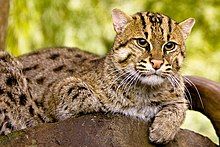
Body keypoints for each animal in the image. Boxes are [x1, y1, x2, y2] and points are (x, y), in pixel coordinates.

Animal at [0, 8, 194, 144]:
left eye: (169, 46)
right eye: (142, 42)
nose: (157, 63)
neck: (144, 91)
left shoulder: (178, 94)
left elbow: (179, 106)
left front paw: (163, 129)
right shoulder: (53, 92)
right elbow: (76, 90)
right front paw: (99, 103)